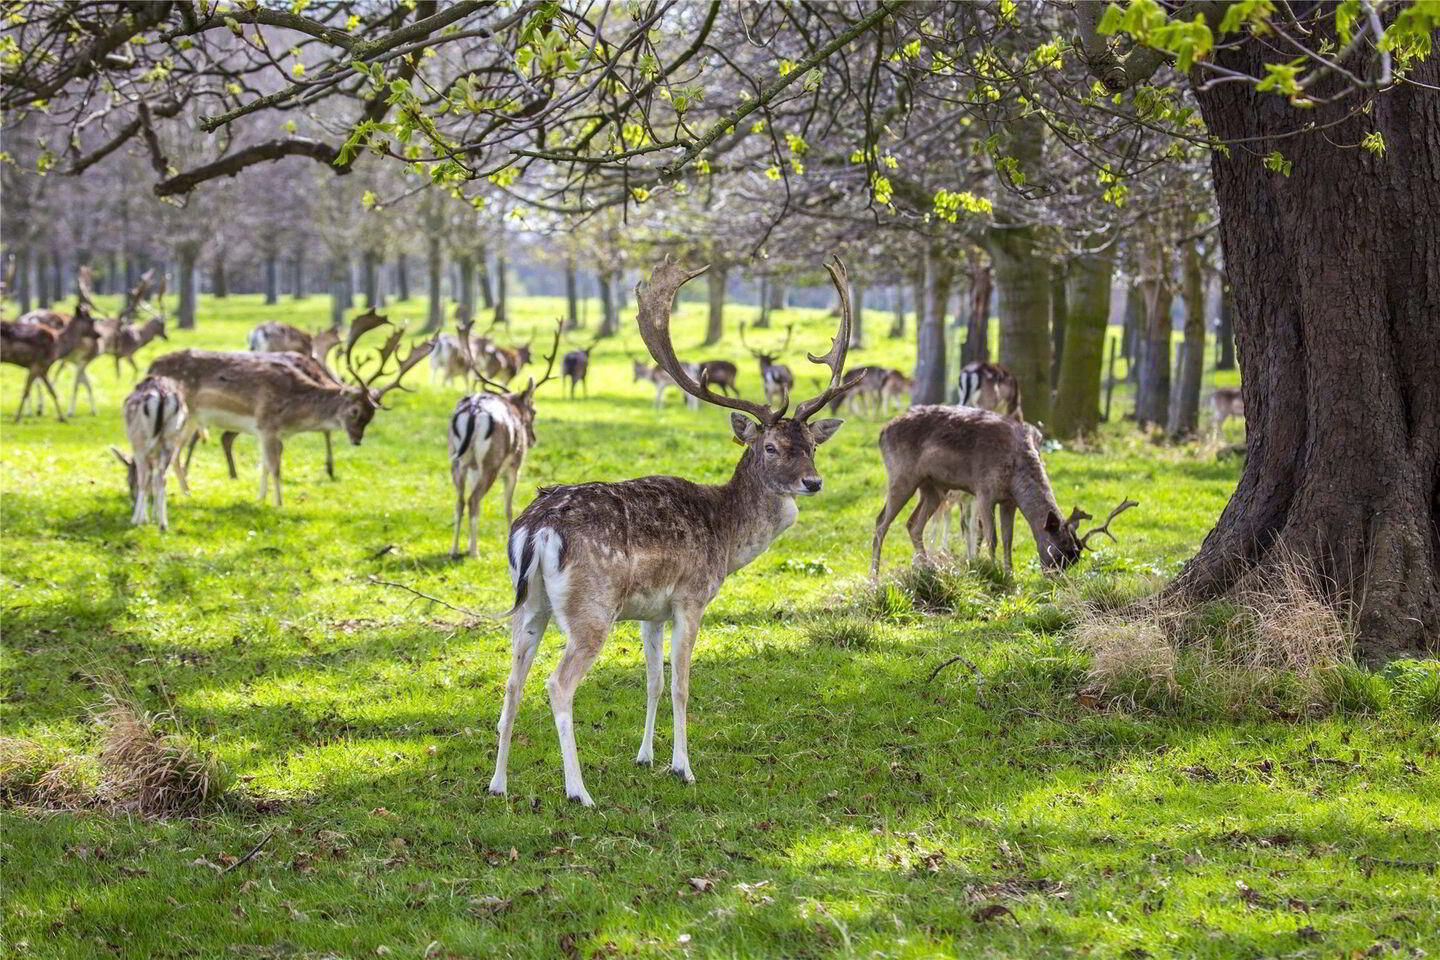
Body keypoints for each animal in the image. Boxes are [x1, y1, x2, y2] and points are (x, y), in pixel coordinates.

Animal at [108, 376, 187, 529]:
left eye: (128, 480)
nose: (132, 503)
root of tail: (161, 394)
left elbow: (146, 479)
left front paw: (144, 518)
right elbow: (155, 480)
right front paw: (155, 516)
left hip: (140, 442)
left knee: (144, 478)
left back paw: (136, 519)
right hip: (171, 440)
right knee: (162, 478)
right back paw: (163, 524)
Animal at [151, 312, 433, 506]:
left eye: (371, 416)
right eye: (354, 411)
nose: (356, 440)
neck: (294, 414)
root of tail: (151, 366)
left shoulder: (268, 433)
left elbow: (264, 465)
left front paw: (261, 498)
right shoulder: (267, 425)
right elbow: (275, 467)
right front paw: (279, 503)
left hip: (191, 421)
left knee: (175, 455)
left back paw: (187, 492)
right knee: (169, 454)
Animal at [448, 324, 562, 558]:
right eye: (534, 411)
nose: (532, 439)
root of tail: (474, 410)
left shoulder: (472, 468)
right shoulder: (513, 467)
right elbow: (509, 507)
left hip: (458, 461)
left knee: (460, 501)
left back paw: (454, 550)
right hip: (491, 463)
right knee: (474, 500)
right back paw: (474, 552)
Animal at [487, 255, 861, 807]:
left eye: (813, 445)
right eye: (770, 447)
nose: (812, 482)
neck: (726, 536)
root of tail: (537, 528)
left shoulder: (651, 613)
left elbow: (653, 683)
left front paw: (645, 756)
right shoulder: (691, 598)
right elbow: (683, 684)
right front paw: (682, 767)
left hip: (530, 603)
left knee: (512, 680)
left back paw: (498, 783)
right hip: (591, 608)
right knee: (557, 683)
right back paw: (579, 792)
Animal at [872, 405, 1136, 575]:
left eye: (1076, 557)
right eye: (1058, 551)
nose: (1057, 579)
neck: (1015, 475)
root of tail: (882, 432)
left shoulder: (1009, 501)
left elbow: (1008, 540)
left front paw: (1010, 575)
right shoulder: (983, 491)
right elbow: (992, 538)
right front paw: (993, 573)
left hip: (933, 487)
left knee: (913, 524)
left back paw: (927, 567)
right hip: (902, 475)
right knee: (881, 522)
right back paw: (874, 577)